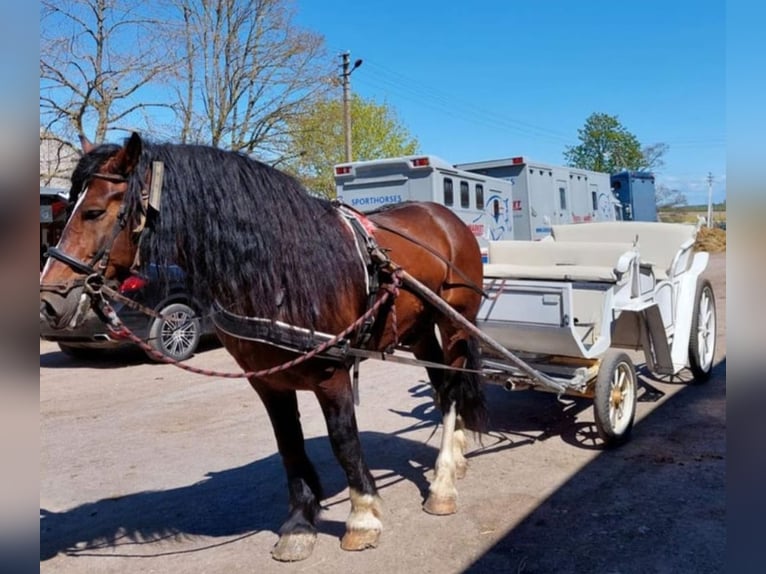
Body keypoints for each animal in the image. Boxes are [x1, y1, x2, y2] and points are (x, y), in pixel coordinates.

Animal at [39, 132, 486, 564]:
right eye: (65, 212)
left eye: (94, 212)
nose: (48, 302)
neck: (281, 273)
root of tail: (444, 217)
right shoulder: (268, 382)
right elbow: (289, 445)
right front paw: (300, 524)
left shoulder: (332, 374)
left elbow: (343, 441)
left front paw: (362, 517)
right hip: (418, 329)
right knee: (441, 384)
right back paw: (456, 456)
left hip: (455, 321)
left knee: (451, 389)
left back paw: (443, 482)